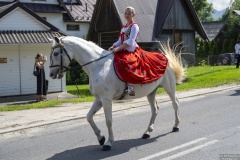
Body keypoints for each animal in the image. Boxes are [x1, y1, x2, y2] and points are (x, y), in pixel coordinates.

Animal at [48, 36, 184, 151]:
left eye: (55, 53)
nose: (51, 74)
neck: (97, 65)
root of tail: (166, 58)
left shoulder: (106, 99)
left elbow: (108, 120)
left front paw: (108, 142)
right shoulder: (99, 99)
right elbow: (89, 117)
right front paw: (101, 138)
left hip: (169, 87)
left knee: (175, 104)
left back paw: (176, 126)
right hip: (151, 92)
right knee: (155, 109)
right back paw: (147, 132)